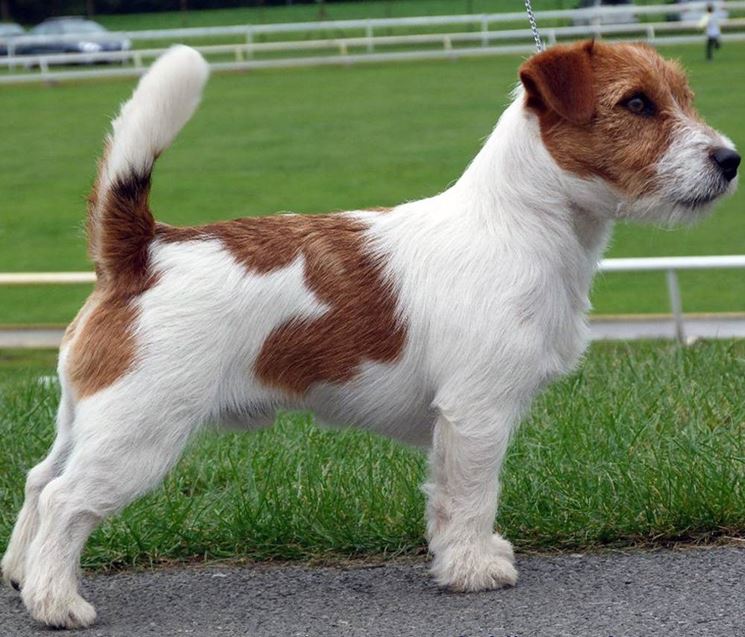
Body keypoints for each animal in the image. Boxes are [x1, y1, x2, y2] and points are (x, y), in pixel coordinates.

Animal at [2, 41, 740, 628]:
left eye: (684, 98)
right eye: (637, 103)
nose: (729, 158)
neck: (517, 221)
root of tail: (141, 252)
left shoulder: (453, 424)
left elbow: (445, 499)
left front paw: (462, 558)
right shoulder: (477, 414)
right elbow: (472, 497)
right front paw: (474, 569)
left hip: (89, 416)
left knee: (40, 478)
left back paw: (18, 572)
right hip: (139, 432)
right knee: (66, 500)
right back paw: (56, 601)